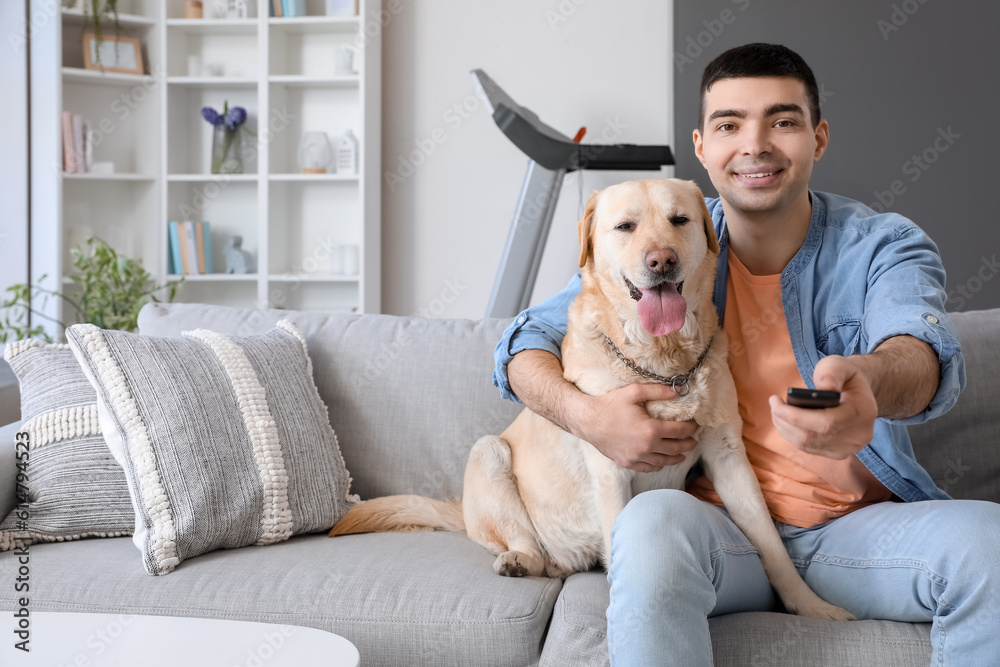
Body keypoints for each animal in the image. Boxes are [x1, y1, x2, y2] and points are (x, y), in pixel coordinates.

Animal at [334, 177, 852, 620]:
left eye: (680, 219)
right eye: (625, 227)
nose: (661, 260)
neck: (661, 359)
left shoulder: (727, 455)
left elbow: (769, 541)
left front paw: (811, 606)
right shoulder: (611, 464)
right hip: (488, 454)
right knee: (524, 543)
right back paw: (520, 560)